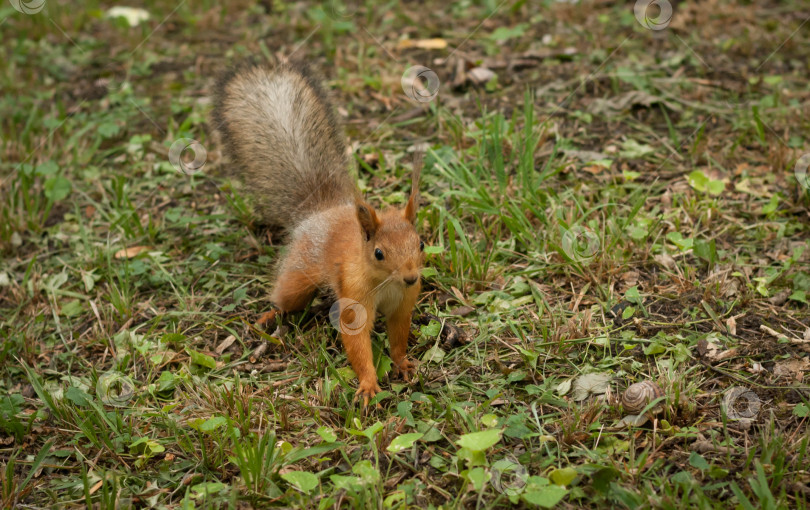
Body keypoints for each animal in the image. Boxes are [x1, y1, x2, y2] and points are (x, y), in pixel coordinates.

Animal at [211, 61, 422, 406]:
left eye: (421, 243)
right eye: (379, 253)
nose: (411, 277)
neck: (387, 283)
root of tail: (319, 212)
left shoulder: (404, 302)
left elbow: (399, 334)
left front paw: (402, 363)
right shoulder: (355, 294)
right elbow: (356, 340)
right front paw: (368, 384)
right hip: (299, 273)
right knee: (286, 297)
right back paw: (269, 316)